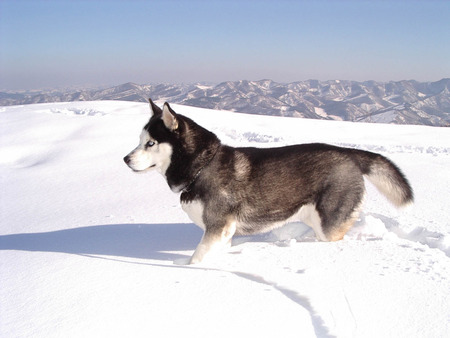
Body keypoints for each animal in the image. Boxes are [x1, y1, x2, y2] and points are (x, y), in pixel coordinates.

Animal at [123, 99, 412, 262]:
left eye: (151, 143)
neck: (201, 168)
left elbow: (197, 258)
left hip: (328, 223)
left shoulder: (218, 228)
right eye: (140, 140)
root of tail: (348, 153)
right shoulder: (224, 234)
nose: (125, 159)